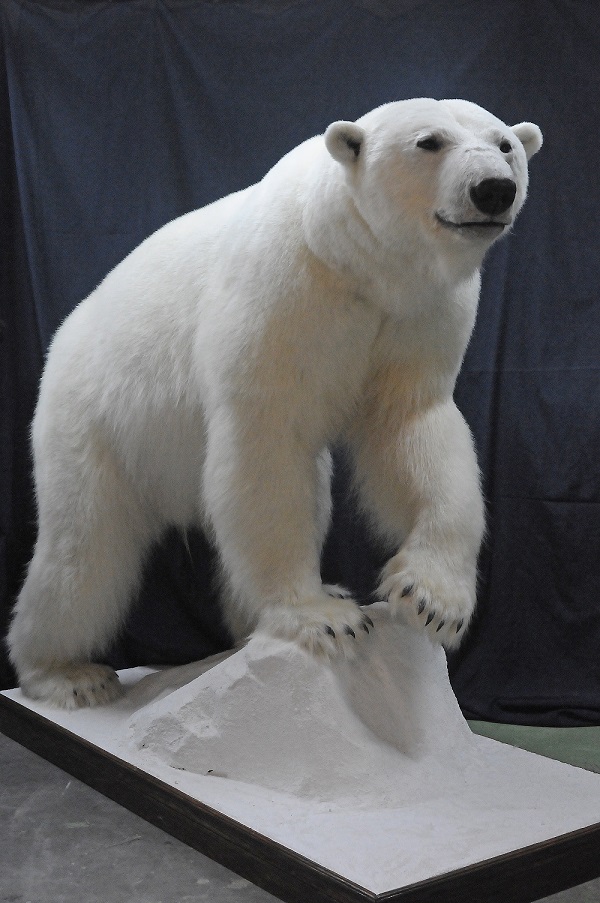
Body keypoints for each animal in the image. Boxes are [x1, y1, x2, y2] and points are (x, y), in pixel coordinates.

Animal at [7, 98, 542, 708]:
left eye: (505, 144)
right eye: (429, 142)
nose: (494, 189)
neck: (356, 263)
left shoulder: (419, 314)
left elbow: (412, 429)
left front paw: (432, 600)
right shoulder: (287, 290)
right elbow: (267, 443)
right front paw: (319, 616)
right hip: (93, 420)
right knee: (84, 552)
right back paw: (67, 673)